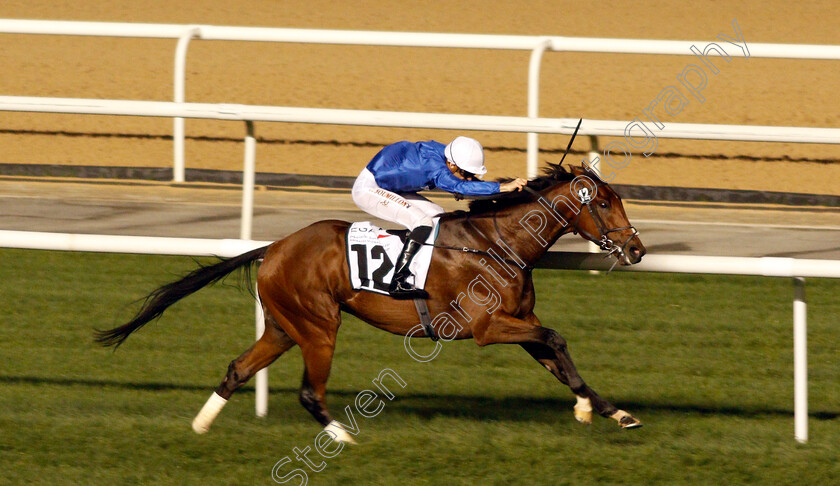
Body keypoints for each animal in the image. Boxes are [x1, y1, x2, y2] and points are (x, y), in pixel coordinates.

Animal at [98, 162, 648, 440]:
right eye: (603, 203)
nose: (637, 249)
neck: (496, 242)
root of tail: (274, 247)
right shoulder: (488, 328)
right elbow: (556, 338)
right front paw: (591, 409)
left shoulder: (518, 319)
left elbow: (558, 354)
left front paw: (606, 410)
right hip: (319, 326)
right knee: (309, 391)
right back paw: (343, 436)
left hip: (282, 326)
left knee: (238, 368)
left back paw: (201, 425)